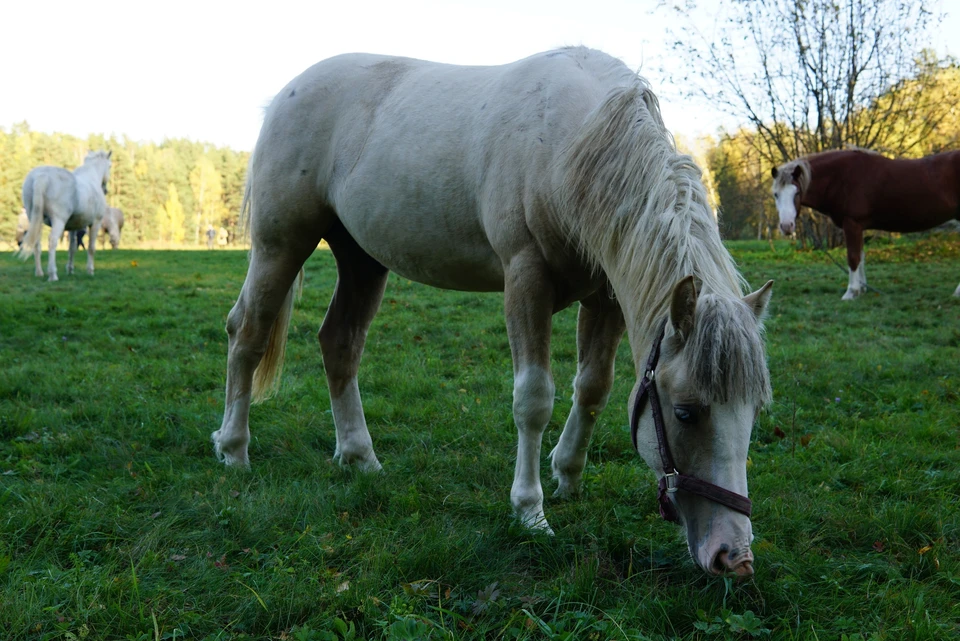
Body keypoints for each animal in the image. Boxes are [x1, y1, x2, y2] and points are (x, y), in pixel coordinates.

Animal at [19, 151, 112, 282]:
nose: (105, 190)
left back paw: (39, 272)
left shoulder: (73, 227)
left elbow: (72, 248)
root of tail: (41, 176)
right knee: (52, 241)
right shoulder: (95, 223)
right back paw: (53, 274)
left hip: (34, 219)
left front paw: (70, 269)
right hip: (58, 220)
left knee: (37, 244)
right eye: (110, 166)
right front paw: (90, 271)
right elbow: (91, 248)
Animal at [214, 47, 776, 576]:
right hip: (280, 245)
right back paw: (234, 450)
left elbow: (593, 388)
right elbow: (534, 398)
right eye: (685, 412)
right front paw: (530, 511)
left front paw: (568, 475)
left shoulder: (607, 296)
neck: (572, 142)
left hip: (361, 260)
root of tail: (289, 92)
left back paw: (360, 458)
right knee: (248, 333)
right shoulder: (525, 278)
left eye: (753, 412)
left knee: (339, 345)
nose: (735, 557)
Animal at [772, 150, 960, 300]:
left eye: (797, 192)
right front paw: (862, 289)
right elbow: (861, 256)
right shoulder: (859, 226)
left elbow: (853, 257)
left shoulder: (852, 223)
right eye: (775, 194)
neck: (841, 177)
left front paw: (851, 292)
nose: (787, 226)